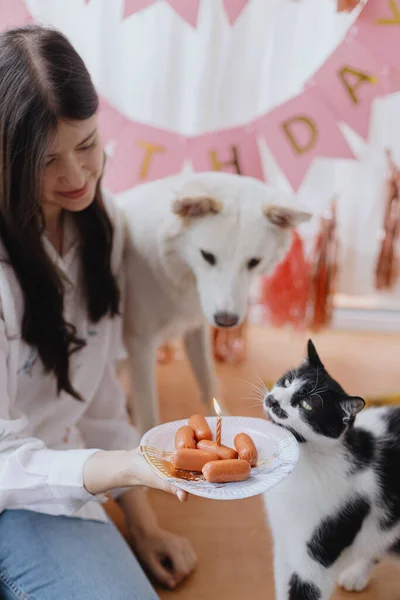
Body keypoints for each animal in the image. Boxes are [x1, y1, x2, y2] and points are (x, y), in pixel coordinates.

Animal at [117, 171, 310, 434]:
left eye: (253, 262)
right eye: (207, 256)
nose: (226, 321)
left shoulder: (196, 329)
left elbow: (208, 380)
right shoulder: (140, 346)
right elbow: (148, 412)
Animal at [264, 340, 398, 596]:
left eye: (307, 404)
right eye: (286, 381)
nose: (273, 400)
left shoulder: (317, 554)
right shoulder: (283, 541)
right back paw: (356, 575)